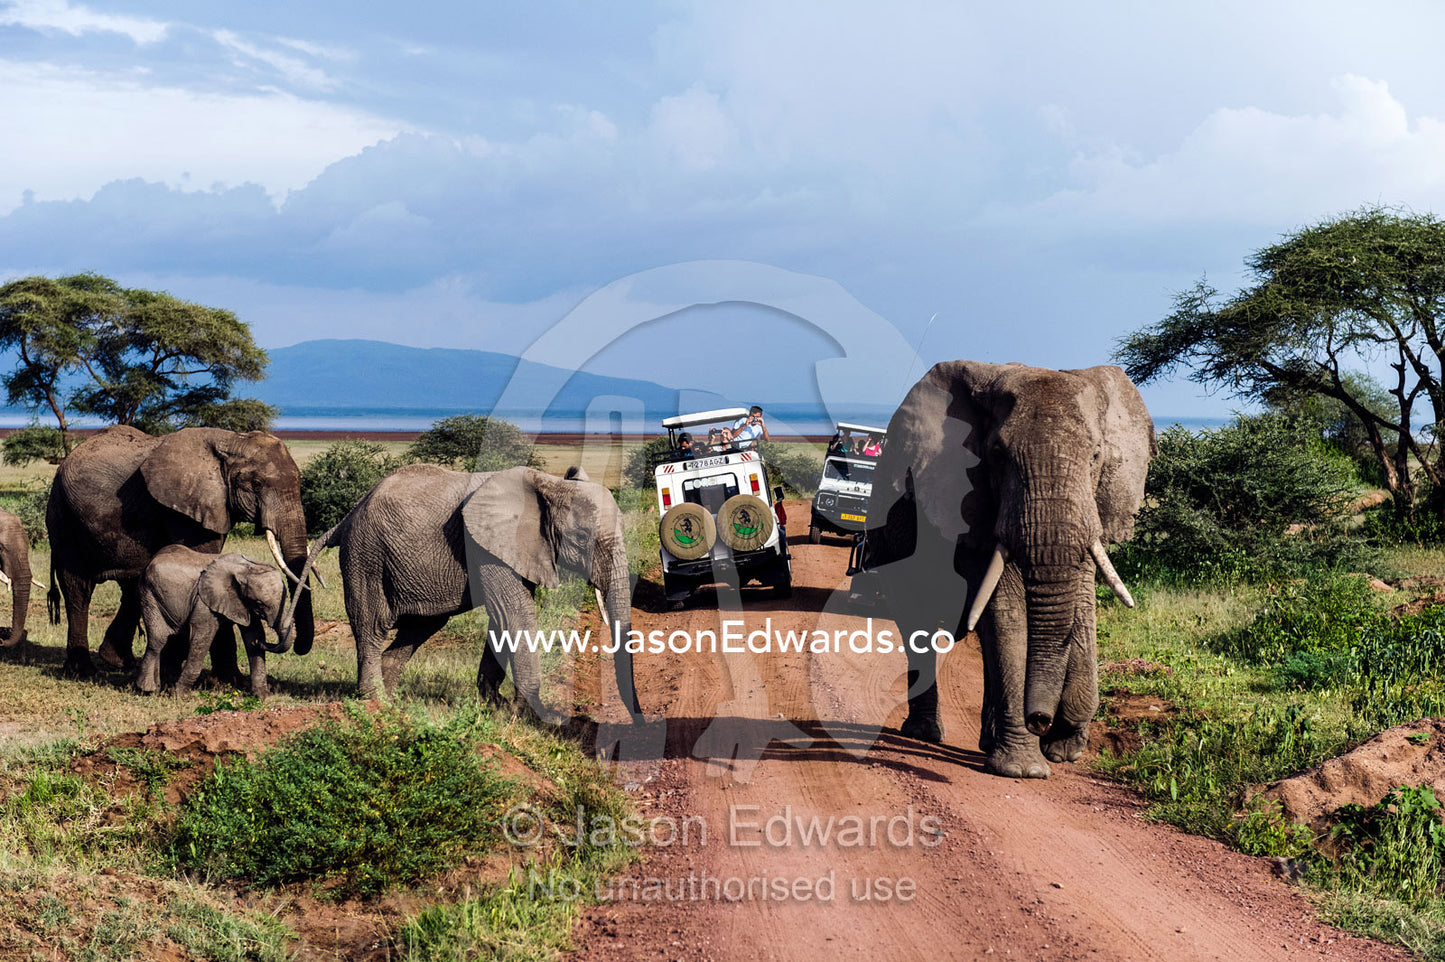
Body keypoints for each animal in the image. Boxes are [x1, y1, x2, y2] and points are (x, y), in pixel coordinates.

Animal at [45, 426, 315, 676]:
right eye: (256, 484)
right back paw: (83, 669)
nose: (295, 647)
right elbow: (206, 562)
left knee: (131, 586)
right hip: (63, 514)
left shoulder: (213, 506)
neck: (231, 440)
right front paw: (229, 679)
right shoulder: (185, 507)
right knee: (77, 588)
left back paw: (119, 662)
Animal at [136, 546, 296, 697]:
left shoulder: (242, 603)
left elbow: (253, 634)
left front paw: (264, 697)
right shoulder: (204, 601)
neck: (245, 569)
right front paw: (181, 696)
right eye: (259, 603)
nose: (262, 644)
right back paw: (148, 689)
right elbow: (202, 637)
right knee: (158, 640)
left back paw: (156, 690)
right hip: (150, 596)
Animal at [291, 463, 640, 718]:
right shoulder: (486, 546)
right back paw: (377, 704)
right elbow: (515, 614)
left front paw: (494, 706)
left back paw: (392, 700)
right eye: (582, 538)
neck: (551, 485)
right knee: (372, 626)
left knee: (421, 627)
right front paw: (530, 715)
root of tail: (347, 517)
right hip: (366, 556)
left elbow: (503, 620)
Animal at [863, 361, 1154, 778]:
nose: (1041, 720)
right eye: (998, 455)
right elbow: (1008, 610)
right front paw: (1024, 770)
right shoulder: (972, 505)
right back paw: (923, 733)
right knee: (917, 621)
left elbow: (1081, 605)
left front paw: (1063, 748)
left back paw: (986, 741)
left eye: (1096, 456)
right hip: (888, 533)